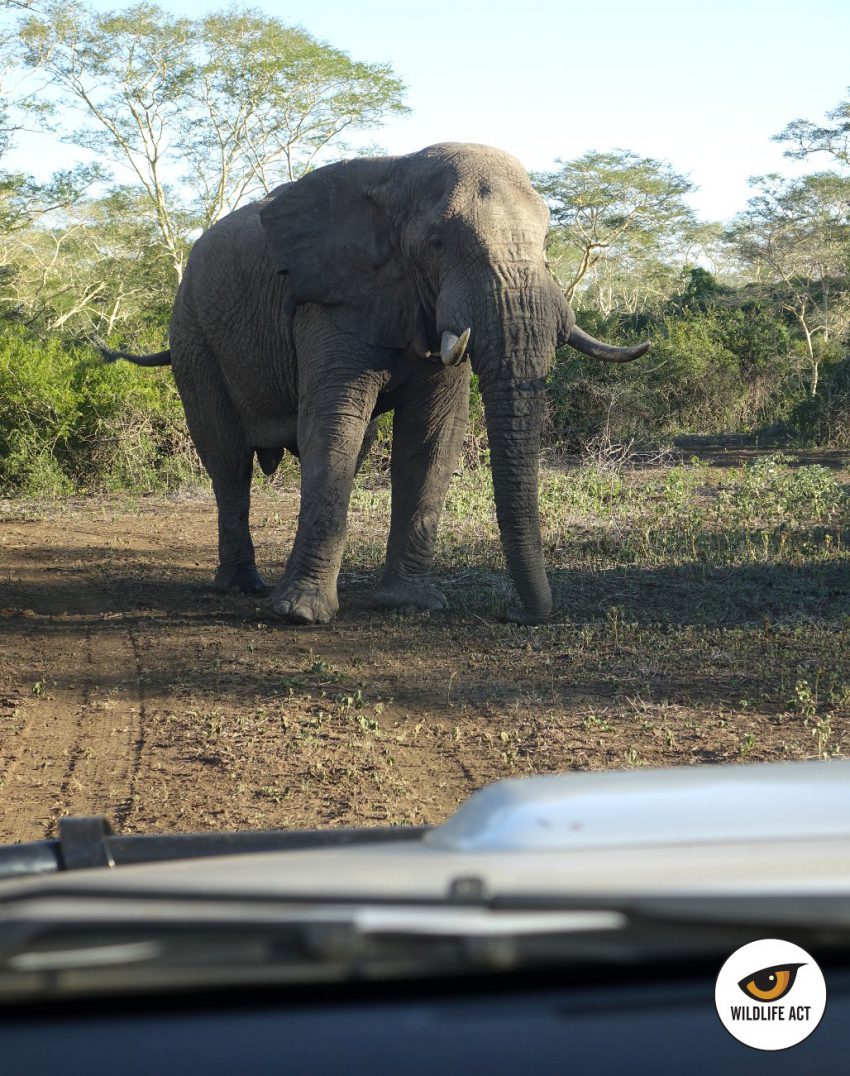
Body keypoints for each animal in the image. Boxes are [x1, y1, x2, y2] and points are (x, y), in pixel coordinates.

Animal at [106, 147, 649, 628]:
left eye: (546, 240)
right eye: (436, 243)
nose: (513, 614)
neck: (400, 176)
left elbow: (432, 438)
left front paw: (408, 605)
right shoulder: (329, 299)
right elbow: (334, 423)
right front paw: (300, 616)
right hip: (193, 336)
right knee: (227, 459)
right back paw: (243, 587)